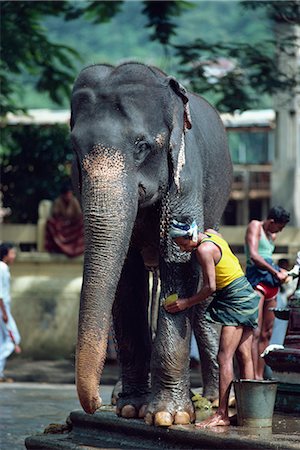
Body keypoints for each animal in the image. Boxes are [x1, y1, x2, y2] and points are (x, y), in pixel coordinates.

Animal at [70, 61, 232, 428]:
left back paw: (212, 401)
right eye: (74, 149)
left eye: (142, 145)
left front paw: (167, 417)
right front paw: (130, 408)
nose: (93, 403)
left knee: (203, 294)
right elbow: (126, 277)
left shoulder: (186, 175)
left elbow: (178, 263)